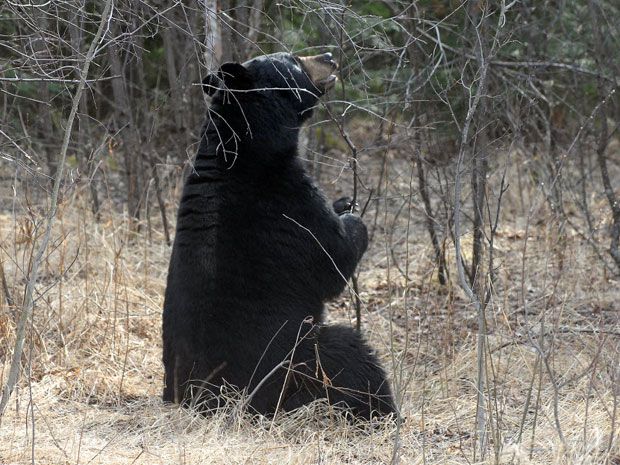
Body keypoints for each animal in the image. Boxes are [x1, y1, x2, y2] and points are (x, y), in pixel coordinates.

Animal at [162, 51, 394, 420]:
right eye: (294, 61)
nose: (329, 56)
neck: (247, 147)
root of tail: (207, 401)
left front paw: (343, 201)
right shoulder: (285, 201)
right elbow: (332, 257)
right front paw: (352, 217)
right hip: (295, 366)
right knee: (352, 357)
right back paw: (383, 413)